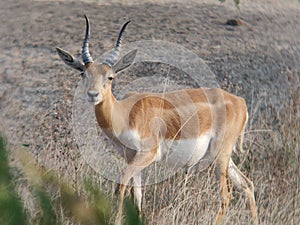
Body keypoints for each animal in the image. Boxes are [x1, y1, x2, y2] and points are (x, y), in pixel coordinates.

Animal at [56, 15, 258, 225]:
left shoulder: (147, 154)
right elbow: (137, 195)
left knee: (226, 196)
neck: (124, 113)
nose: (93, 95)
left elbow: (120, 187)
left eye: (110, 77)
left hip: (221, 155)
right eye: (83, 73)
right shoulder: (131, 156)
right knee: (247, 185)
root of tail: (240, 102)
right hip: (223, 156)